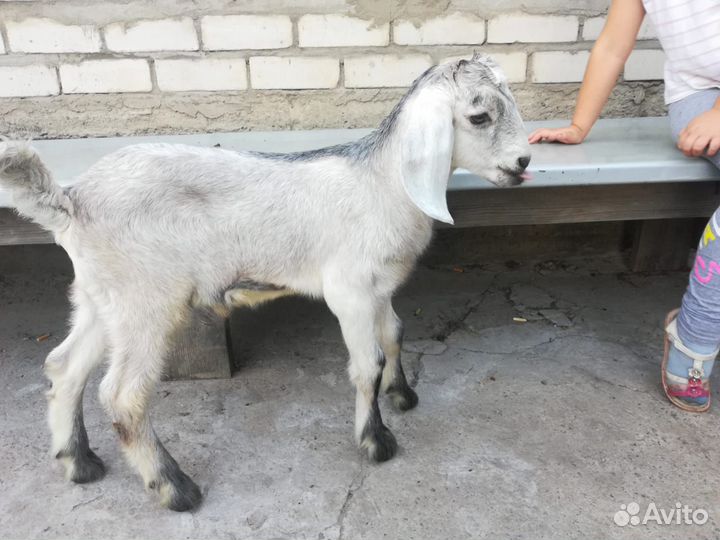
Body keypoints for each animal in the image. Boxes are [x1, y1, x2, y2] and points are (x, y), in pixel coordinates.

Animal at [0, 53, 531, 512]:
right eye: (479, 116)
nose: (524, 163)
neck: (384, 183)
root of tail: (70, 200)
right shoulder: (350, 291)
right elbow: (368, 365)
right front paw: (376, 442)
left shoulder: (380, 288)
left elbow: (395, 335)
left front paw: (401, 396)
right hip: (145, 299)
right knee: (123, 395)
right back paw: (175, 488)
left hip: (101, 296)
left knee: (64, 366)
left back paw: (78, 463)